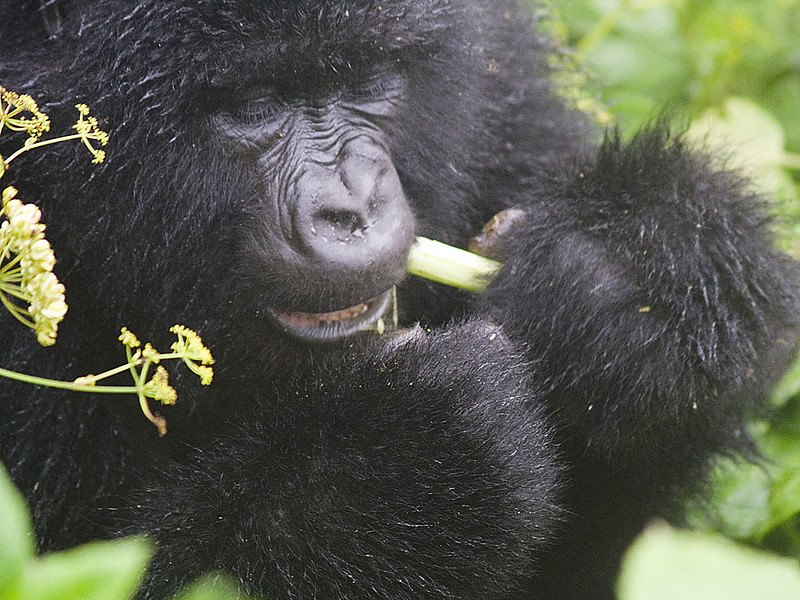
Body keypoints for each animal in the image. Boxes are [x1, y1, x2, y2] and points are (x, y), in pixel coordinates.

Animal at [0, 1, 796, 600]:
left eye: (371, 76)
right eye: (253, 105)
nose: (353, 206)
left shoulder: (500, 85)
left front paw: (633, 271)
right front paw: (406, 465)